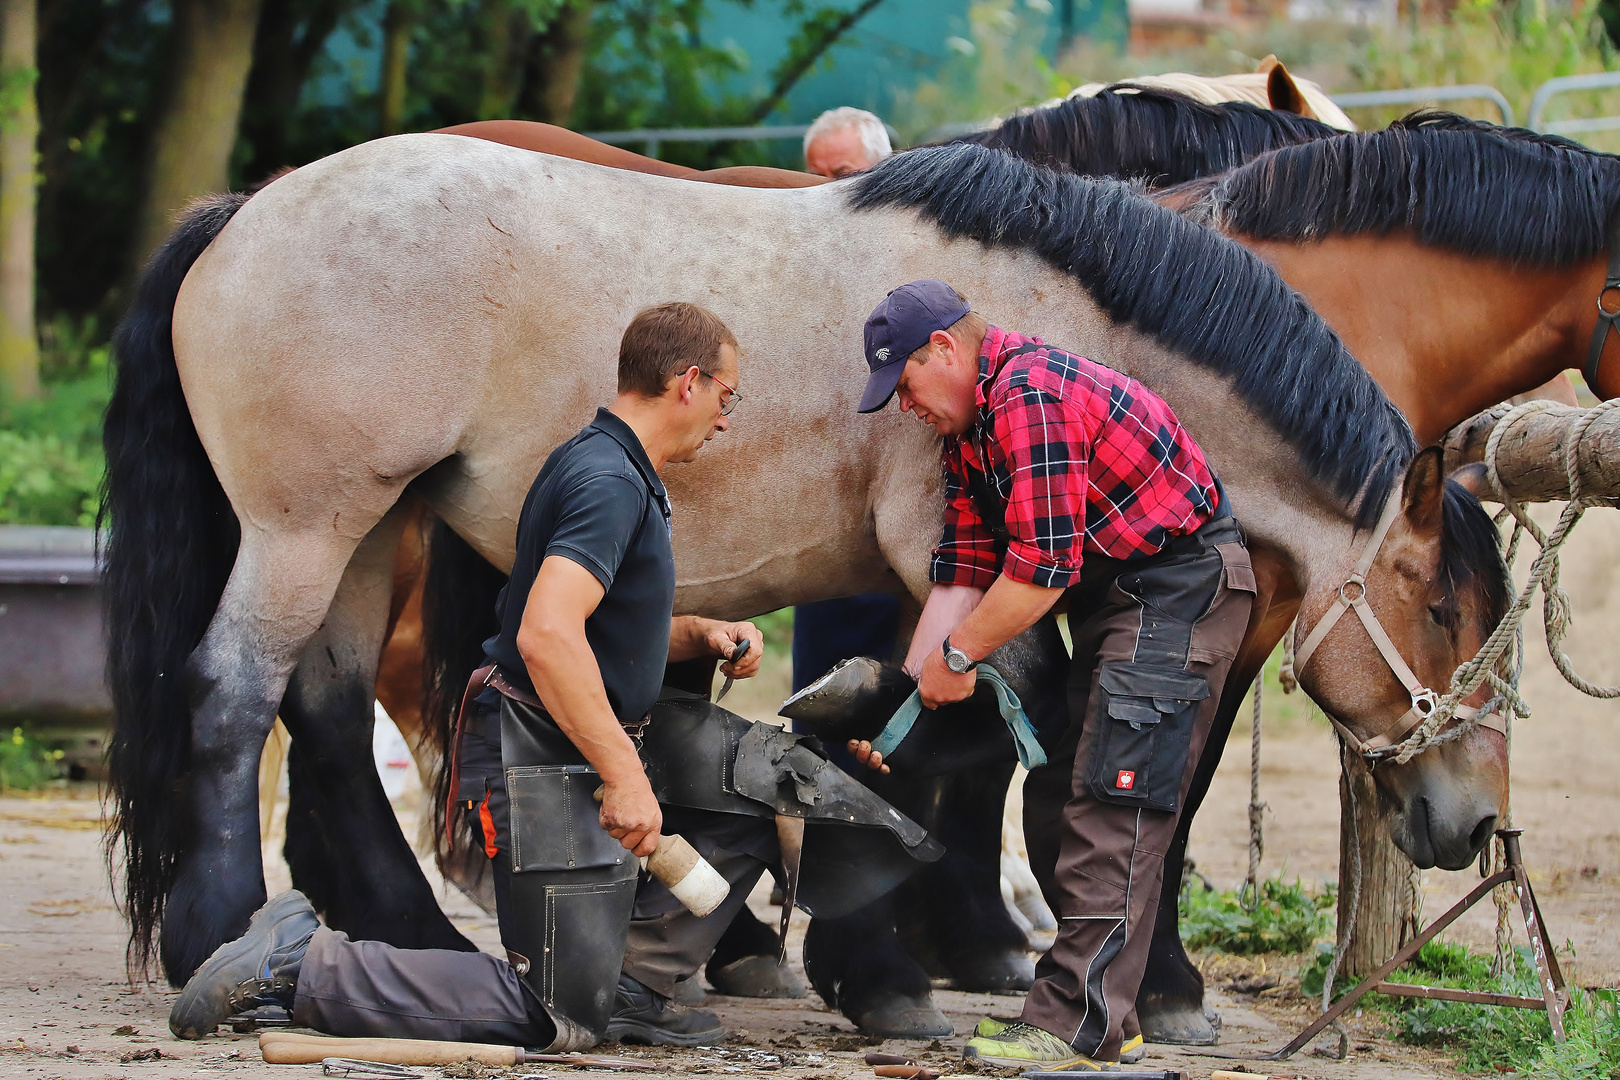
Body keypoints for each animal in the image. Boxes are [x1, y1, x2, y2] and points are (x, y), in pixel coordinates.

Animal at [104, 139, 1503, 1036]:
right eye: (1440, 610)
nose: (1474, 821)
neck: (1038, 322)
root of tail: (243, 211)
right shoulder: (963, 565)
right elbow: (1012, 752)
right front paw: (951, 972)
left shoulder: (948, 586)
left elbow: (934, 735)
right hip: (303, 531)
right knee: (231, 700)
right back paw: (218, 937)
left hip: (368, 532)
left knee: (327, 719)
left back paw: (412, 938)